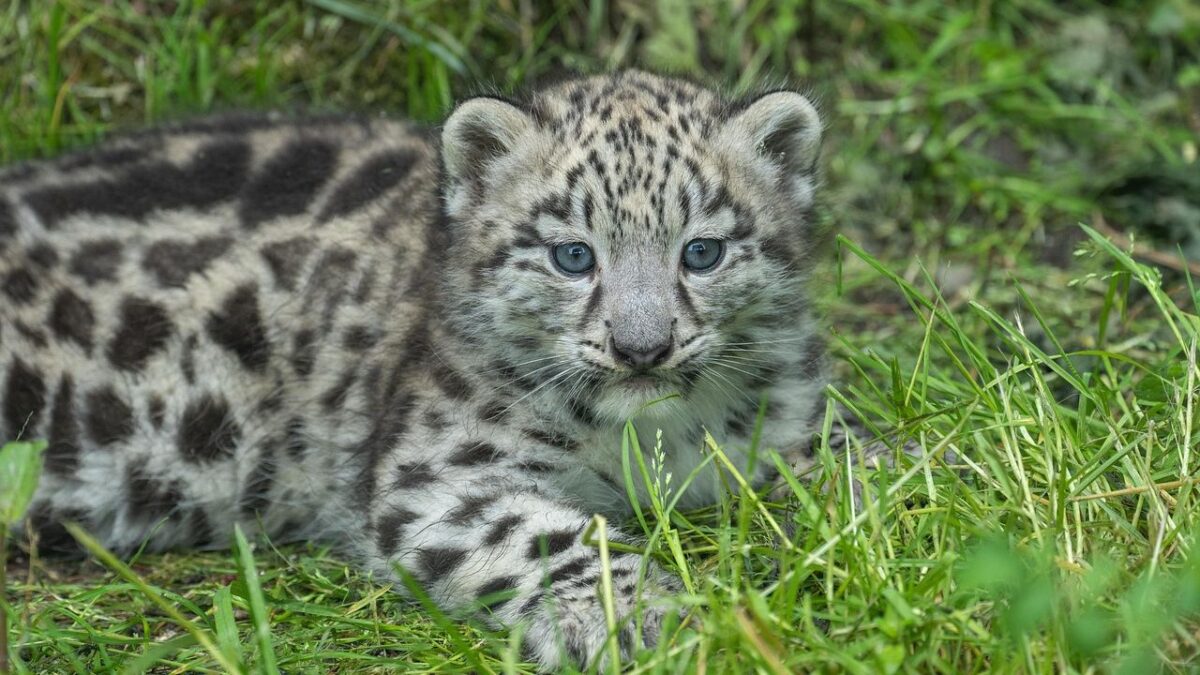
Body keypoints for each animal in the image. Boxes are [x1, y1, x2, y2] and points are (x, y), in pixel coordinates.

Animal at [1, 70, 840, 669]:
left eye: (702, 251)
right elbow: (548, 540)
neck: (654, 440)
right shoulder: (442, 471)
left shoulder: (794, 416)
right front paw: (641, 619)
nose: (643, 347)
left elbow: (857, 467)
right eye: (573, 255)